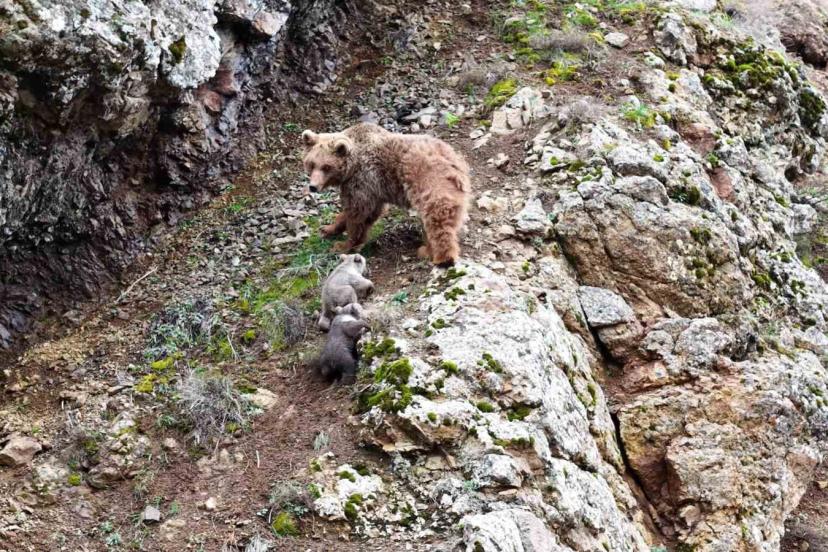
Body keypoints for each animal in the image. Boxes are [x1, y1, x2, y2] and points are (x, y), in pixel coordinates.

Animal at [301, 122, 471, 267]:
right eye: (311, 164)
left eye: (326, 167)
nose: (313, 186)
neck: (351, 166)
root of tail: (453, 160)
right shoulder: (374, 189)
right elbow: (363, 213)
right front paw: (327, 229)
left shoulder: (363, 180)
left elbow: (357, 213)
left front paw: (343, 245)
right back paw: (427, 248)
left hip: (428, 179)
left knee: (438, 215)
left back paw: (440, 256)